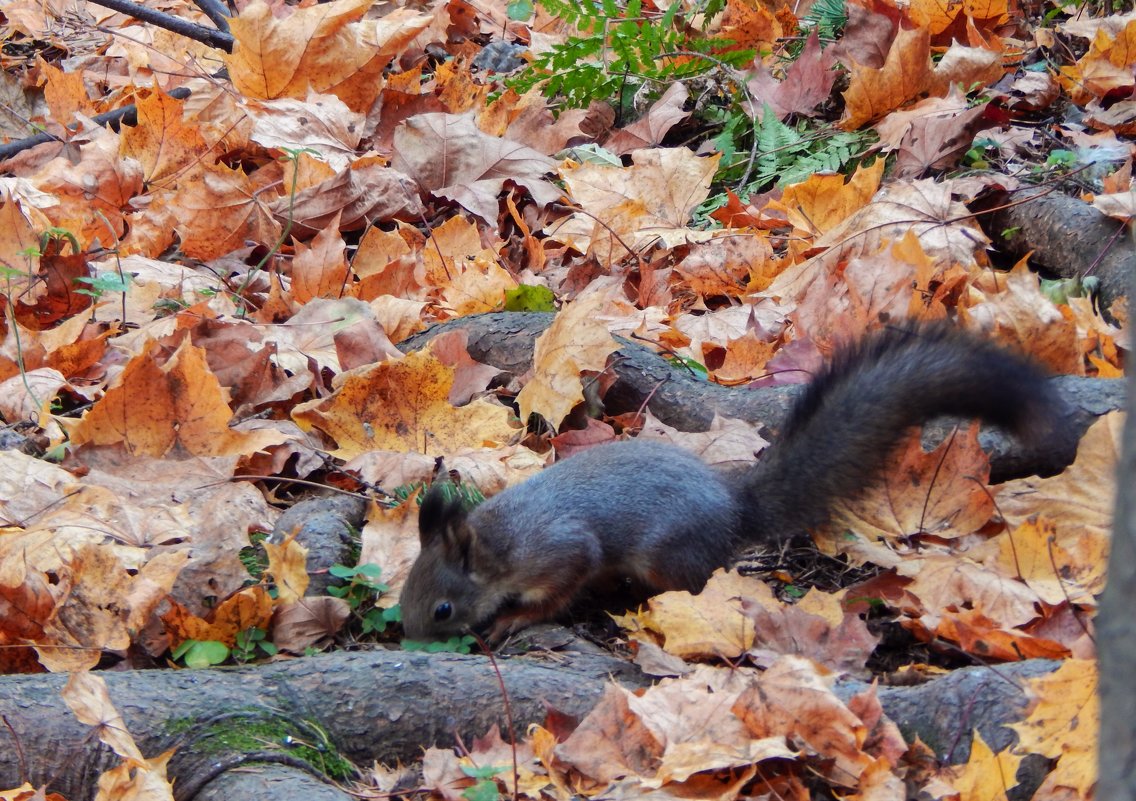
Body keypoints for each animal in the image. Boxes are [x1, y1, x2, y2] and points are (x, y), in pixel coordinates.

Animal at [399, 322, 1072, 640]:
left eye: (442, 608)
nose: (410, 639)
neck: (497, 542)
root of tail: (732, 508)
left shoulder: (559, 552)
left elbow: (558, 588)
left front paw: (514, 620)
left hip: (667, 555)